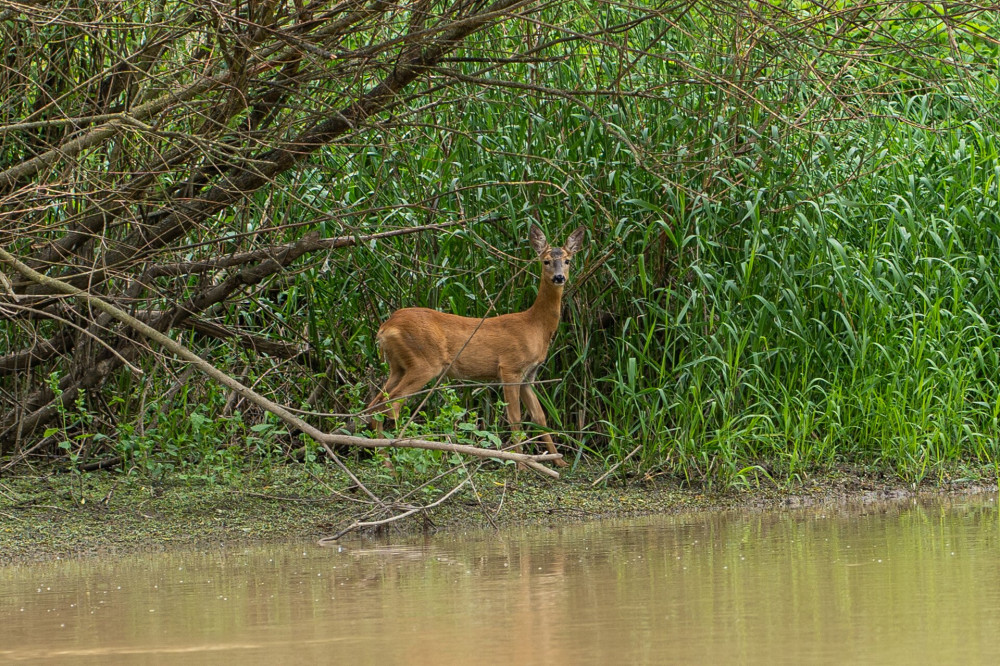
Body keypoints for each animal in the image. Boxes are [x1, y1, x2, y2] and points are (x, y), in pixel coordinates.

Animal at [368, 224, 584, 466]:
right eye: (546, 261)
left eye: (567, 260)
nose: (559, 277)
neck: (535, 326)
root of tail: (385, 327)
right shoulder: (510, 367)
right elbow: (515, 418)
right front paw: (521, 465)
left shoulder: (529, 375)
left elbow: (540, 416)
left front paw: (559, 462)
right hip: (424, 362)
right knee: (392, 406)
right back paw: (396, 458)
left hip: (398, 366)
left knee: (375, 403)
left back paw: (382, 457)